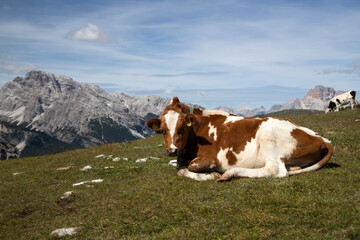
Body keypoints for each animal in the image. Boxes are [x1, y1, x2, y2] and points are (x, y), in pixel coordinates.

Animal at [148, 96, 334, 181]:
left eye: (181, 128)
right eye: (162, 130)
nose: (172, 150)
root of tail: (323, 139)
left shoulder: (212, 158)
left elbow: (187, 168)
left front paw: (211, 174)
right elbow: (180, 166)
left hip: (267, 135)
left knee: (275, 170)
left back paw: (231, 172)